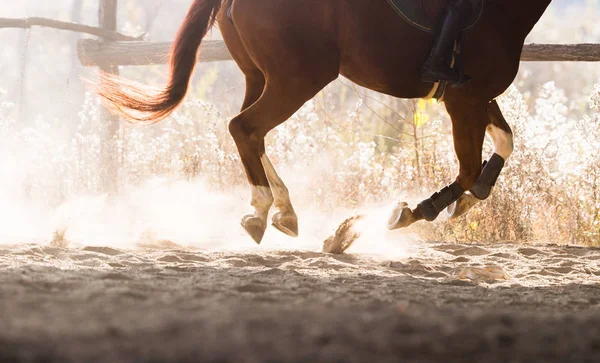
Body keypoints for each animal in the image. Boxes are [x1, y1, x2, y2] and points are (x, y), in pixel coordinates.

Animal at [98, 0, 552, 245]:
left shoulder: (474, 98)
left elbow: (504, 142)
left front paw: (468, 199)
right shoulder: (464, 100)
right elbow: (469, 169)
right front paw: (409, 213)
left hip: (260, 76)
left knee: (253, 135)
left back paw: (281, 212)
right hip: (299, 79)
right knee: (246, 128)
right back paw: (263, 210)